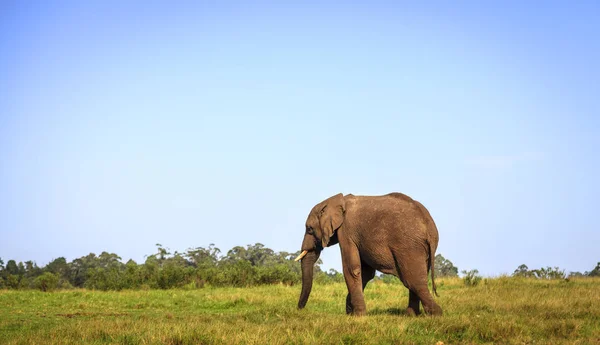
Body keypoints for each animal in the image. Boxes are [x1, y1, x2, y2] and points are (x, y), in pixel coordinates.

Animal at [294, 192, 440, 316]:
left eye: (309, 229)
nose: (300, 309)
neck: (338, 201)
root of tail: (429, 226)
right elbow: (365, 273)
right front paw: (351, 313)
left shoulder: (346, 232)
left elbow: (352, 270)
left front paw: (358, 315)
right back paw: (411, 315)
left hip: (408, 246)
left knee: (412, 280)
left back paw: (435, 314)